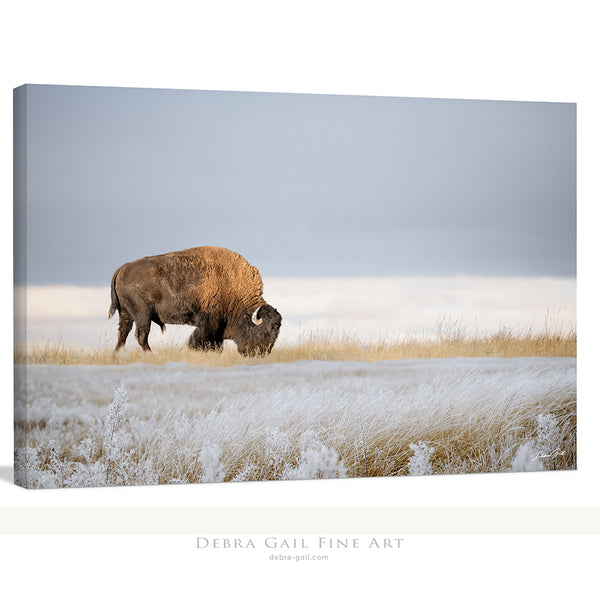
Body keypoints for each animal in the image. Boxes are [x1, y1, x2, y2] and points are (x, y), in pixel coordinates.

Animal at [109, 245, 282, 356]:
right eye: (261, 333)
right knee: (141, 335)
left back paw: (117, 354)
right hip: (142, 314)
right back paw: (150, 354)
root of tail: (122, 268)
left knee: (123, 333)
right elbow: (199, 339)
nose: (261, 354)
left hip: (126, 314)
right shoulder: (208, 321)